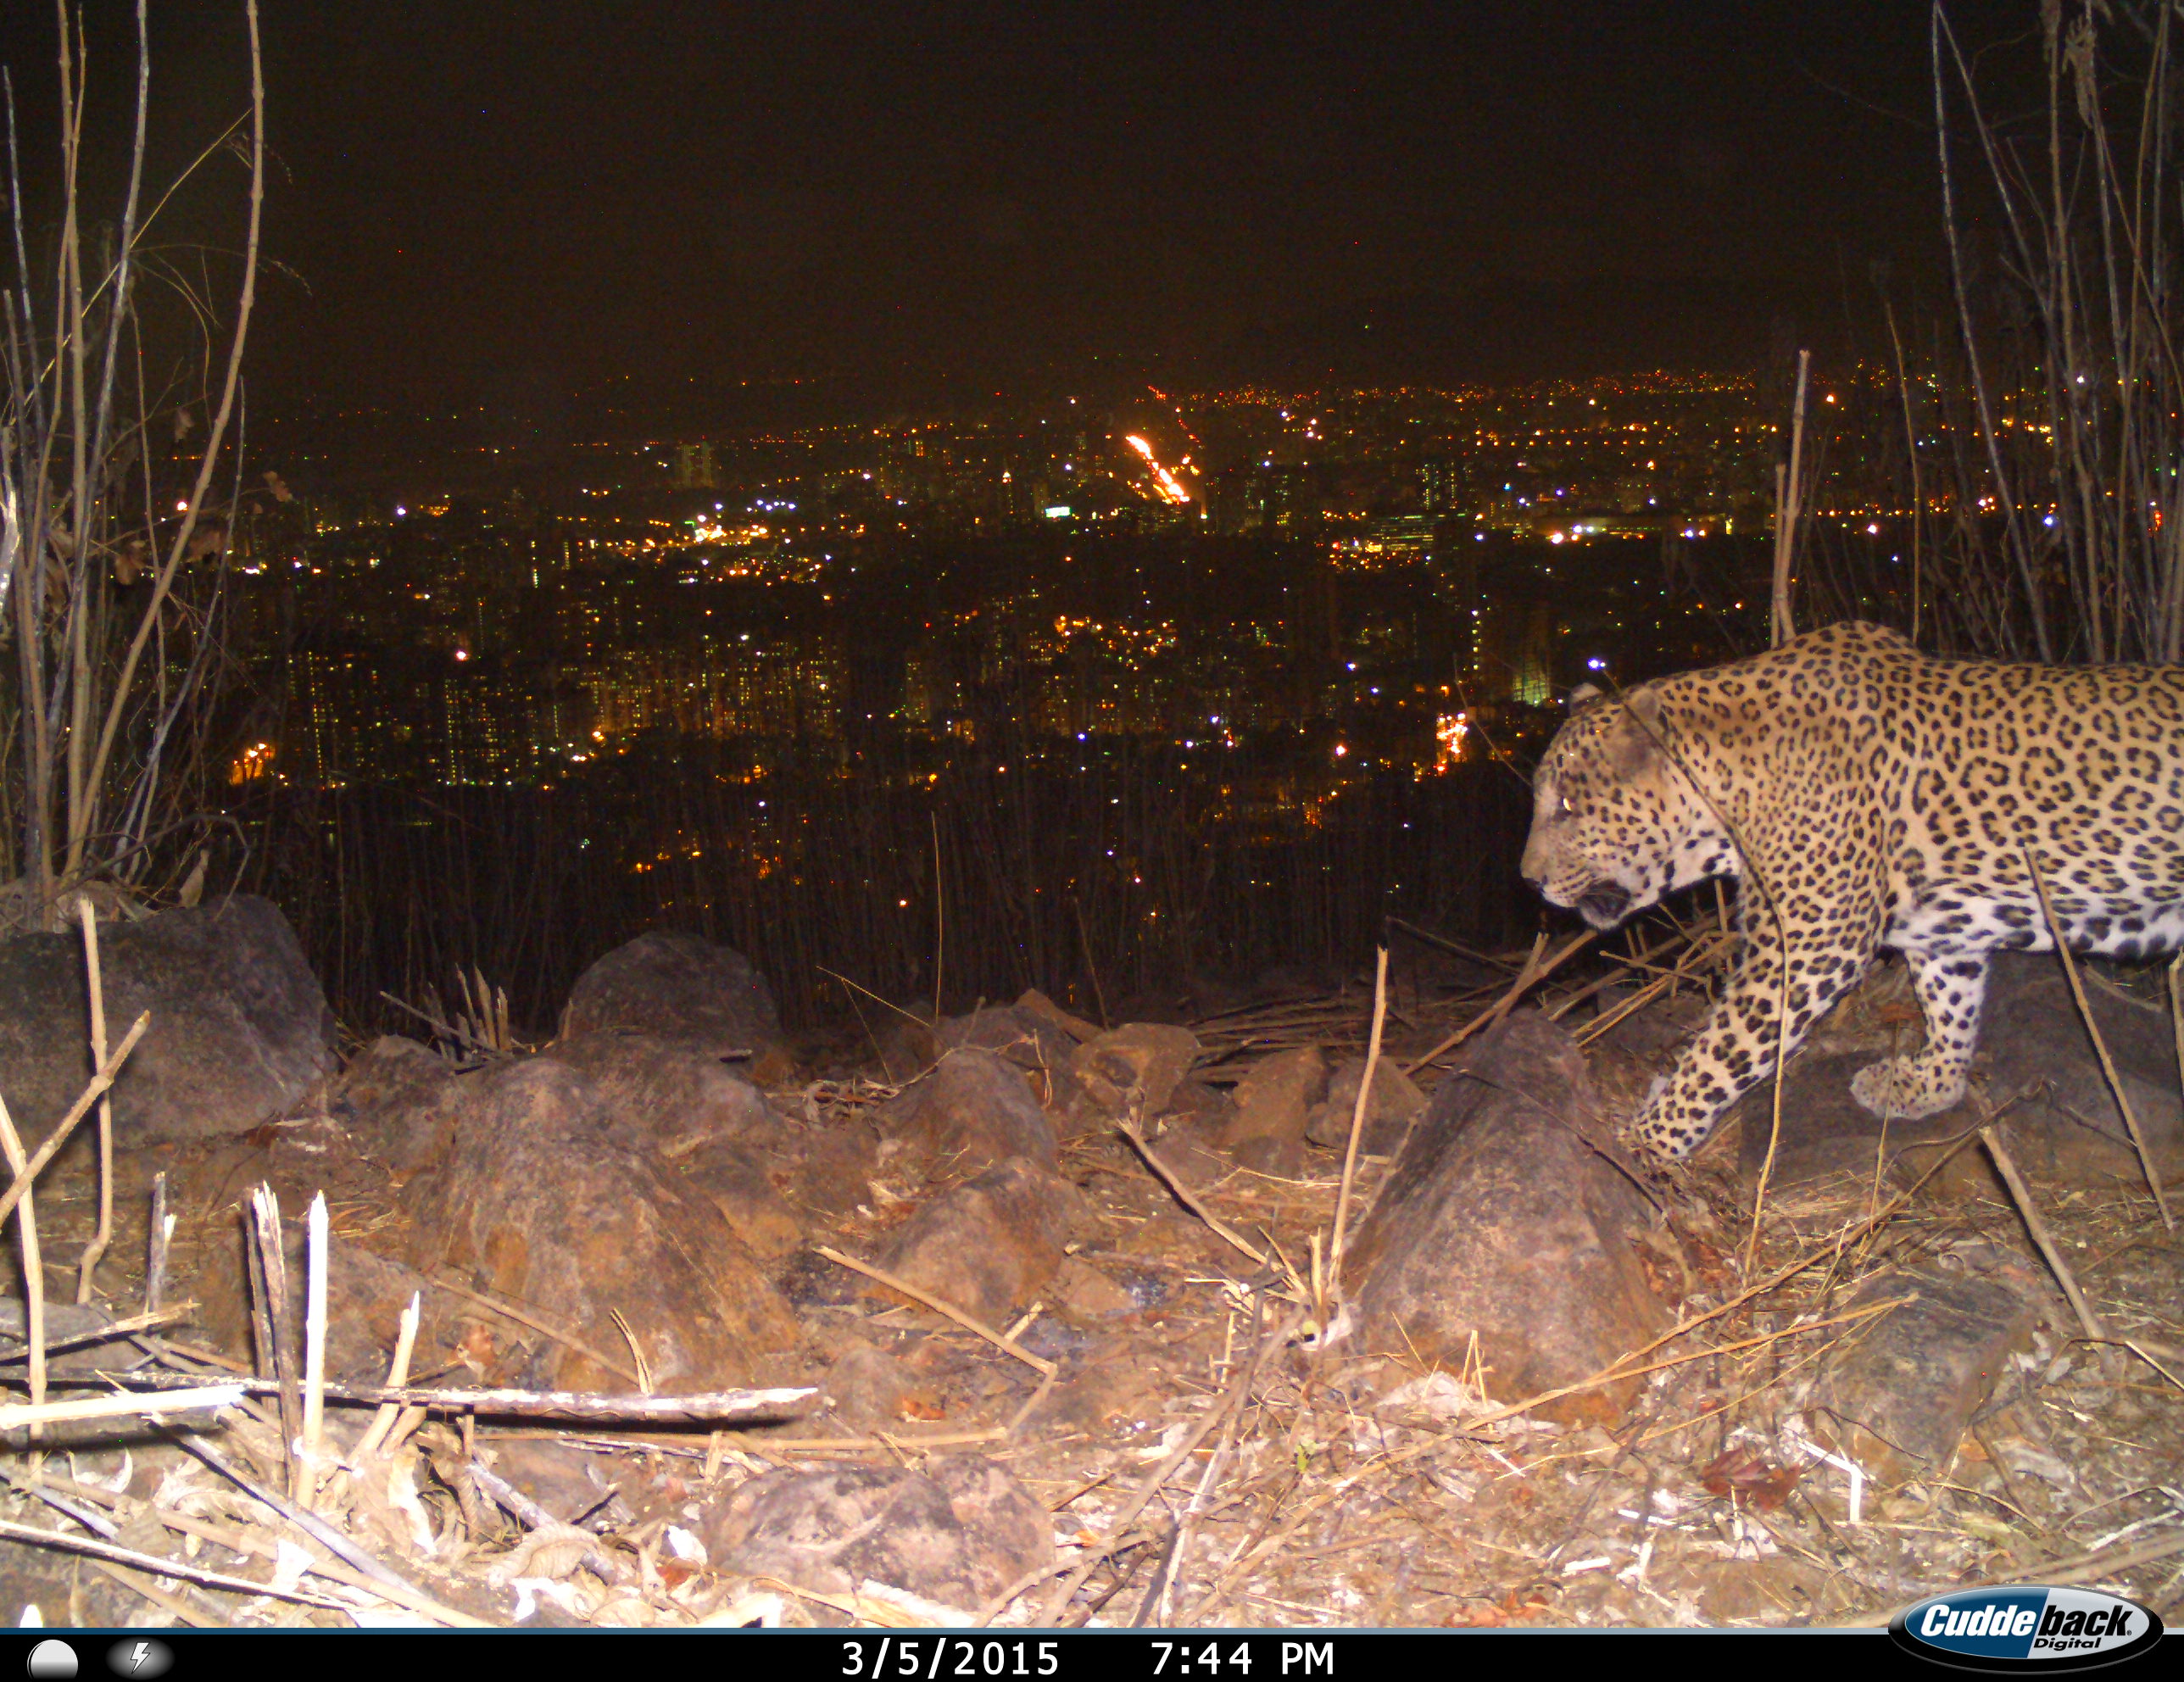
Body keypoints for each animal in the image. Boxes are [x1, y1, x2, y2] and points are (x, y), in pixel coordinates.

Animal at [1519, 615, 2184, 1153]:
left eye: (1569, 807)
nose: (1530, 880)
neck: (1726, 794)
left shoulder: (1806, 951)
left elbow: (1716, 1056)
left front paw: (1645, 1142)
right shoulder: (1945, 934)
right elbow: (1951, 1005)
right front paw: (1930, 1085)